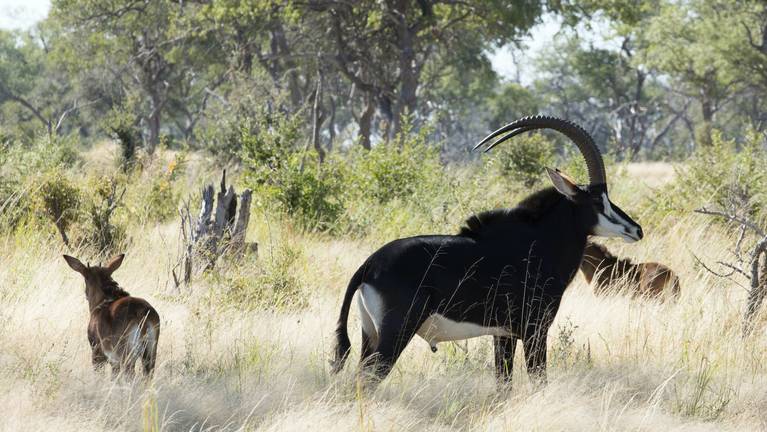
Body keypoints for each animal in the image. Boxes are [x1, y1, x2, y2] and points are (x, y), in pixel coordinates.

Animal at [332, 115, 648, 384]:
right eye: (597, 201)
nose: (636, 230)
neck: (538, 243)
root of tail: (369, 265)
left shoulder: (503, 335)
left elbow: (503, 384)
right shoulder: (534, 330)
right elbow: (538, 380)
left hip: (369, 335)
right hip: (395, 333)